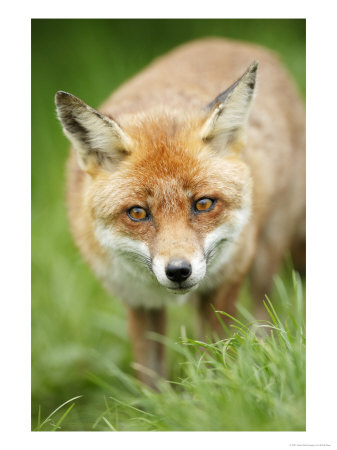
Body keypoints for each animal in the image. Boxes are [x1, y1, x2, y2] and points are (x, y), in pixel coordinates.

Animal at [54, 38, 304, 386]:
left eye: (203, 204)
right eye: (137, 212)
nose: (178, 271)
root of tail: (232, 42)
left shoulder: (227, 281)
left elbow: (216, 358)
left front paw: (216, 391)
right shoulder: (137, 301)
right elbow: (150, 379)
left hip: (267, 253)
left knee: (262, 312)